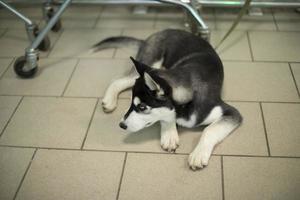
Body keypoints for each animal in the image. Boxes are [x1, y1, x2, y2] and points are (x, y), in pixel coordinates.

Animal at [95, 28, 243, 170]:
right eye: (131, 102)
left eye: (142, 107)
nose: (121, 125)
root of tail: (159, 32)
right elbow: (166, 117)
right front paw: (169, 134)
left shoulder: (231, 112)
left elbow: (209, 130)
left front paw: (198, 154)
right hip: (150, 62)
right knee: (118, 80)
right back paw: (109, 101)